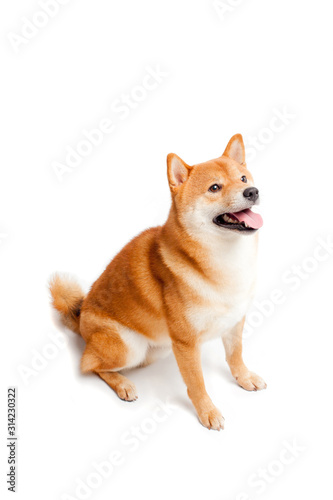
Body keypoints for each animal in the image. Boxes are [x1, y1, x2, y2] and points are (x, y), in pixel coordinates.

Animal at [50, 133, 268, 430]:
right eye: (214, 187)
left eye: (243, 178)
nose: (252, 192)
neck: (224, 262)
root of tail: (81, 319)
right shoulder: (186, 344)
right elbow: (197, 383)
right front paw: (207, 411)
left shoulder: (234, 321)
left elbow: (235, 356)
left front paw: (244, 378)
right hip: (129, 347)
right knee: (89, 365)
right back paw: (122, 384)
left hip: (156, 351)